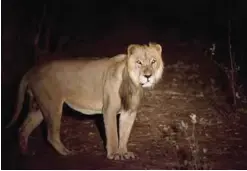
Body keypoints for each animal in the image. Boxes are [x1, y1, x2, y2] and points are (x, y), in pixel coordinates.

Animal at [7, 42, 164, 160]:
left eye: (153, 61)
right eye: (139, 62)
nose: (148, 76)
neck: (134, 84)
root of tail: (32, 69)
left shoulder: (129, 112)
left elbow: (125, 134)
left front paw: (124, 152)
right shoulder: (109, 109)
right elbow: (113, 133)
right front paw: (114, 154)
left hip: (39, 108)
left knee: (23, 129)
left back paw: (25, 153)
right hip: (53, 106)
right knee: (51, 135)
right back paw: (66, 152)